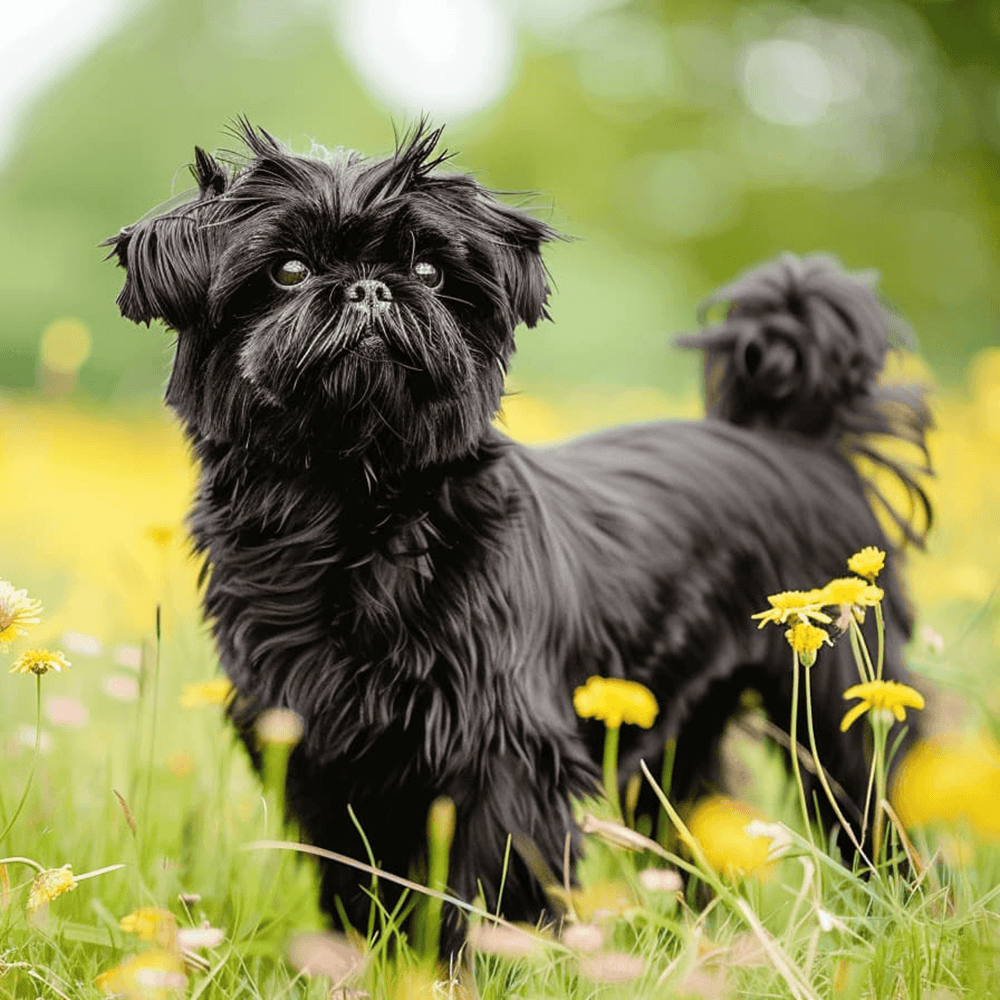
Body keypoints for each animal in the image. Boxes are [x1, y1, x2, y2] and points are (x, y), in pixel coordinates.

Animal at [105, 121, 932, 948]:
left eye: (430, 271)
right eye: (288, 269)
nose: (370, 287)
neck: (351, 511)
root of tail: (794, 439)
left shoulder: (505, 754)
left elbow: (492, 889)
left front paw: (487, 963)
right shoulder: (320, 755)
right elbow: (358, 882)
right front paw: (365, 962)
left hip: (842, 705)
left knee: (882, 805)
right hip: (678, 741)